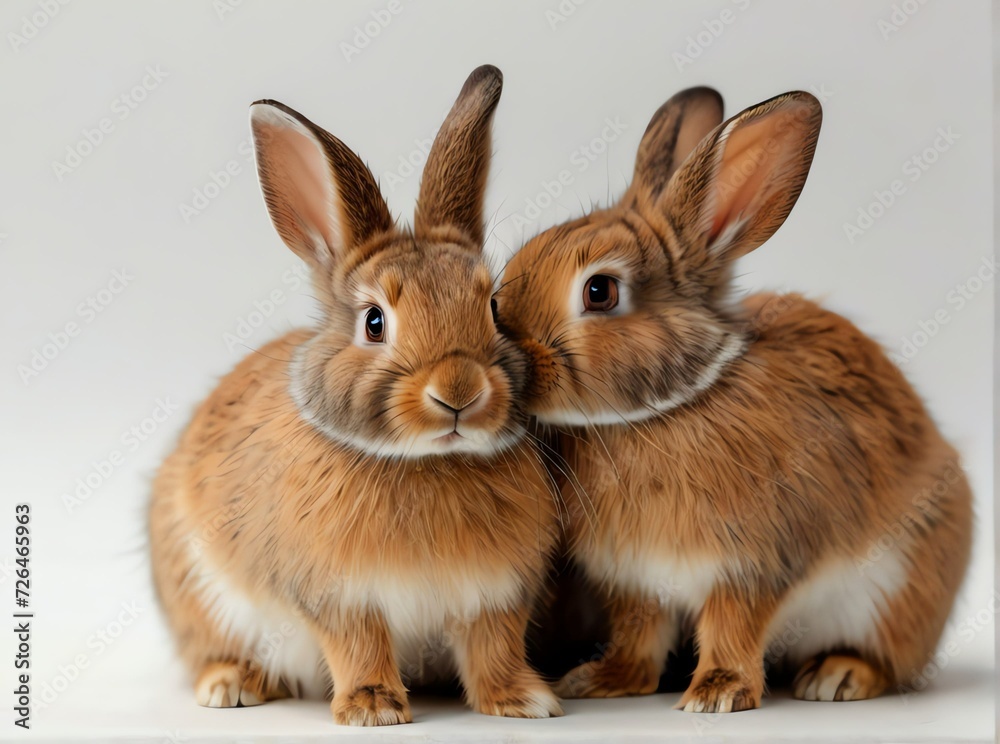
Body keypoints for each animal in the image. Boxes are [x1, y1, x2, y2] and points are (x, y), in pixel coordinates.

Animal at [149, 65, 564, 726]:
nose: (460, 391)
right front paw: (373, 709)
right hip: (197, 587)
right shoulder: (338, 596)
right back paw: (230, 684)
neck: (429, 462)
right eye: (374, 322)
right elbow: (359, 644)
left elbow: (493, 644)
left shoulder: (495, 595)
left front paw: (522, 701)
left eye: (494, 310)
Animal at [494, 86, 972, 713]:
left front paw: (716, 694)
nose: (507, 346)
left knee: (889, 657)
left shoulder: (754, 565)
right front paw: (604, 681)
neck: (664, 409)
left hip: (898, 591)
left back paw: (838, 676)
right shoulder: (637, 581)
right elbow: (640, 632)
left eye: (599, 291)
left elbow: (733, 626)